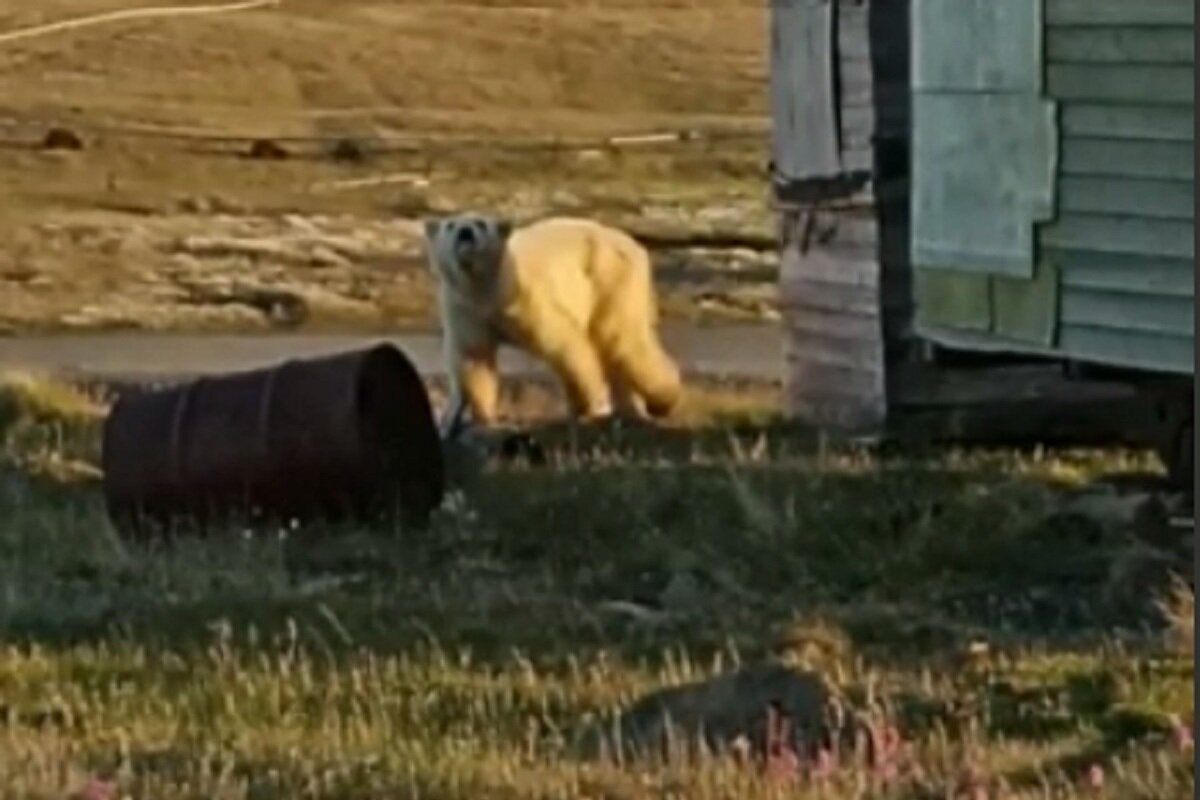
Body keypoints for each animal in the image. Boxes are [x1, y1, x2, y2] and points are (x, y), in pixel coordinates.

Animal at [424, 215, 686, 434]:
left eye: (480, 222)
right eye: (451, 224)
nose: (465, 232)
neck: (488, 288)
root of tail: (633, 244)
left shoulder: (524, 297)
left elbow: (563, 342)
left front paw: (587, 406)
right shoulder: (465, 307)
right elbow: (475, 357)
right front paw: (485, 418)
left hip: (609, 276)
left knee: (620, 338)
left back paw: (662, 400)